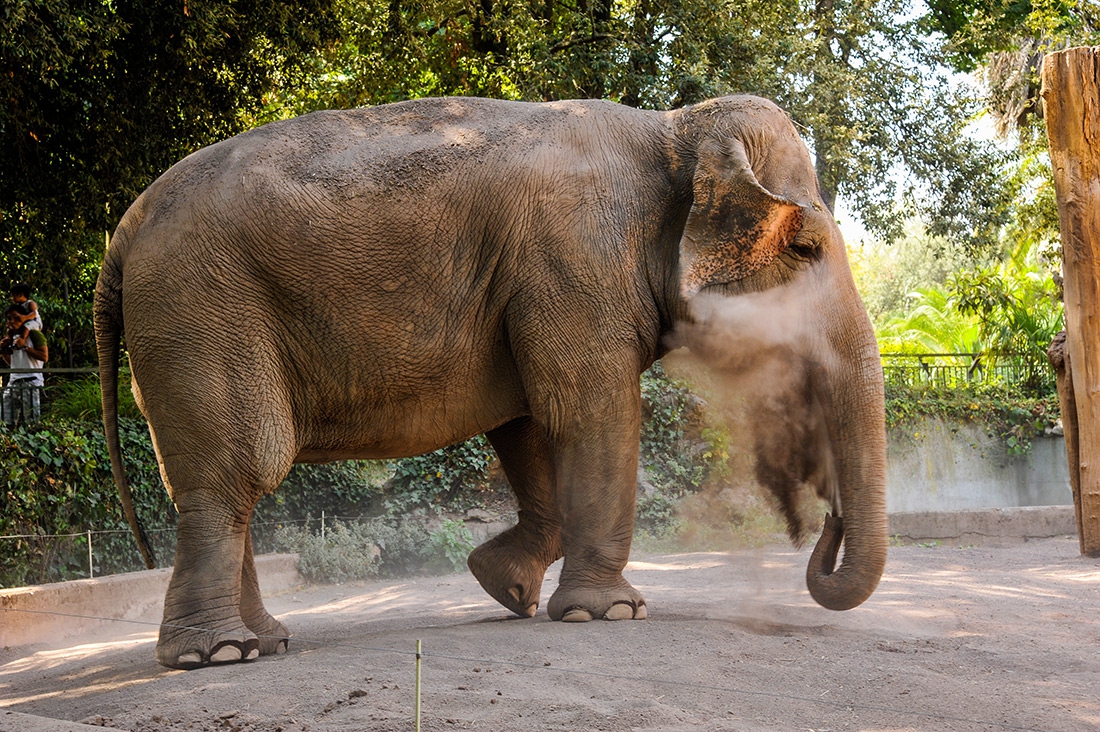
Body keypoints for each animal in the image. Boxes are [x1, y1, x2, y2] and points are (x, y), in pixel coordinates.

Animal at [92, 94, 884, 669]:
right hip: (201, 315)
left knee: (225, 488)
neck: (672, 125)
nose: (823, 521)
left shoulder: (534, 285)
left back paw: (265, 641)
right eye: (806, 248)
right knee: (237, 472)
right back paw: (218, 654)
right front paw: (608, 613)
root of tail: (122, 232)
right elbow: (590, 412)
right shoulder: (574, 261)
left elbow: (530, 423)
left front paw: (504, 586)